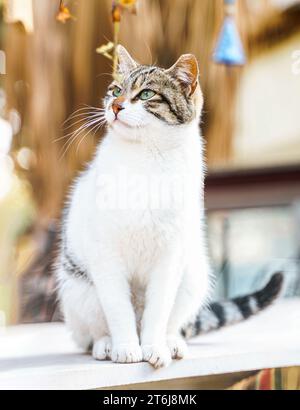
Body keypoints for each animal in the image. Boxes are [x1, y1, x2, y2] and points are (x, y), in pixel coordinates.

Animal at [55, 45, 282, 368]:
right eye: (115, 90)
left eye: (146, 94)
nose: (116, 106)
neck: (146, 158)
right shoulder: (107, 255)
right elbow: (118, 310)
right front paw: (127, 347)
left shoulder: (170, 256)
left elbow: (158, 310)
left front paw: (154, 348)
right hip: (79, 290)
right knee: (90, 334)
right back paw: (106, 344)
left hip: (192, 275)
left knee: (173, 322)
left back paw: (171, 342)